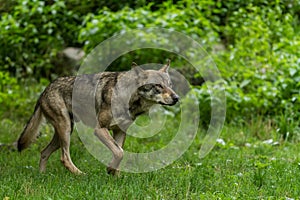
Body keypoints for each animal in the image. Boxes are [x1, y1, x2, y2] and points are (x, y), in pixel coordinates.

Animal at [17, 60, 179, 175]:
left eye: (170, 85)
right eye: (158, 85)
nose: (176, 98)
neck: (128, 97)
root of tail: (44, 90)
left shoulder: (120, 132)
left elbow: (119, 153)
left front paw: (115, 175)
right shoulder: (100, 129)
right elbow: (120, 153)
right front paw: (110, 170)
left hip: (64, 132)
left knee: (44, 152)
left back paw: (42, 176)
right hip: (66, 129)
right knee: (64, 158)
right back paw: (81, 175)